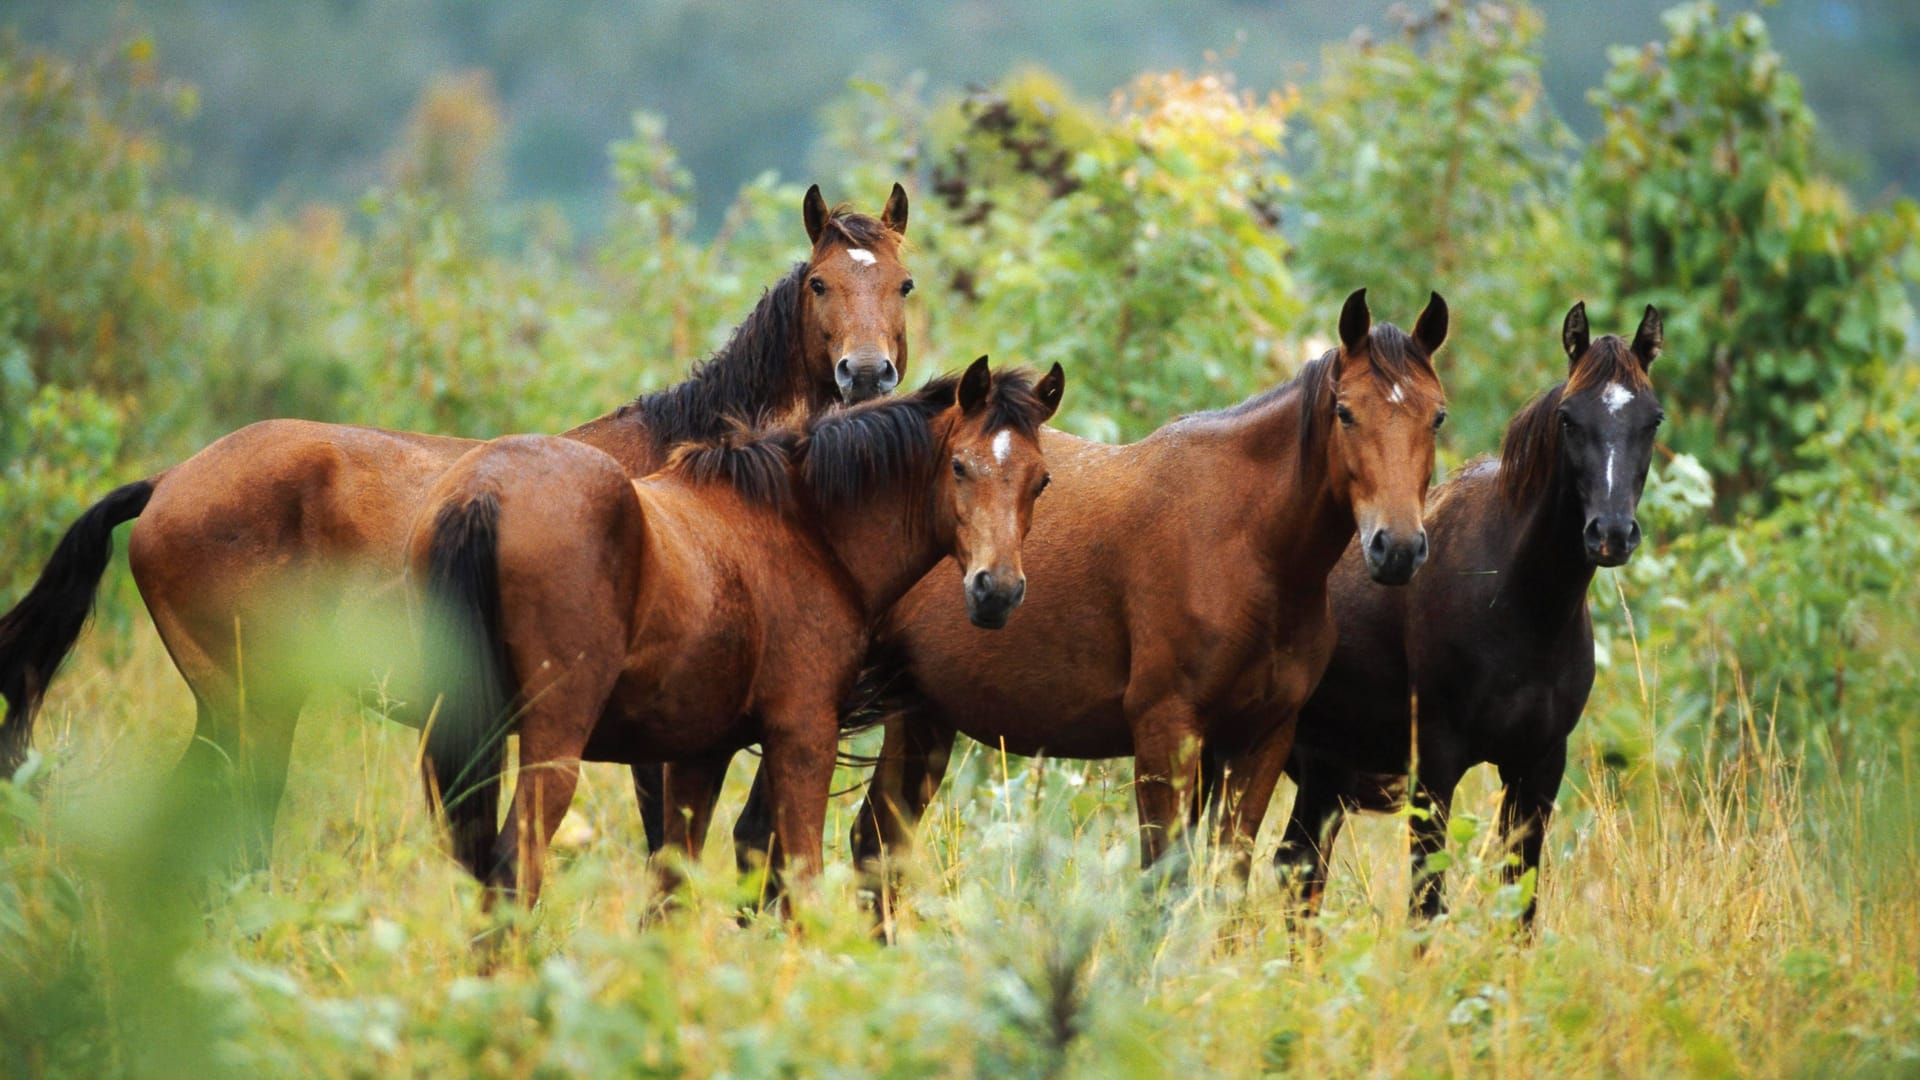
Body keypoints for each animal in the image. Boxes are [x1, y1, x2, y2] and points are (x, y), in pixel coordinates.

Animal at [414, 357, 1067, 903]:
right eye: (960, 466)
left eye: (1041, 481)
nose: (996, 591)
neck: (806, 526)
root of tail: (485, 492)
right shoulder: (803, 737)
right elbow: (801, 887)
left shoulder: (699, 755)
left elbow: (670, 896)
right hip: (552, 747)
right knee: (511, 872)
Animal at [725, 288, 1443, 883]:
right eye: (1346, 412)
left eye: (1436, 417)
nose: (1398, 547)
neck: (1246, 546)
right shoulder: (1164, 733)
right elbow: (1166, 881)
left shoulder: (1261, 740)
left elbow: (1227, 879)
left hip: (921, 713)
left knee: (874, 847)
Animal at [1274, 299, 1666, 926]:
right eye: (1568, 418)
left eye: (1652, 420)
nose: (1609, 533)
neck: (1520, 604)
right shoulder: (1435, 769)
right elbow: (1426, 906)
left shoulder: (1538, 769)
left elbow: (1519, 907)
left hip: (1324, 772)